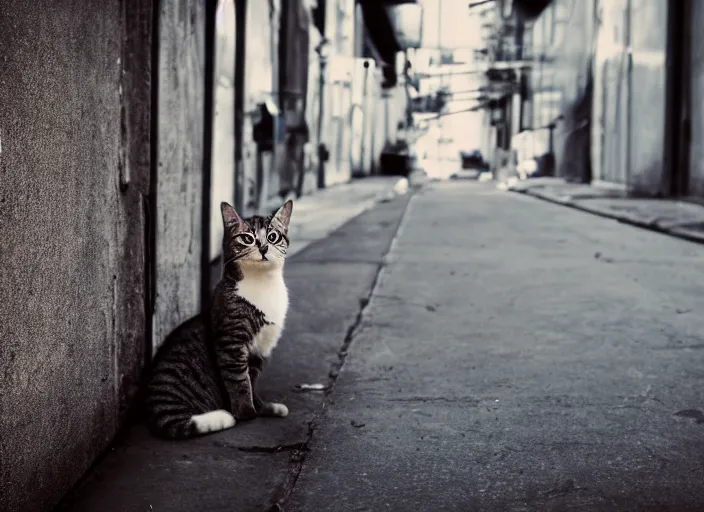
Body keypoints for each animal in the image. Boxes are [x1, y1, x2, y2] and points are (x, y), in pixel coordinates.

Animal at [144, 200, 292, 440]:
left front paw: (263, 407)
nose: (263, 247)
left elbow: (252, 381)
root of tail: (156, 407)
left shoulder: (259, 350)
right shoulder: (231, 343)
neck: (263, 283)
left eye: (273, 237)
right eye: (247, 238)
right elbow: (240, 382)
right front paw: (246, 413)